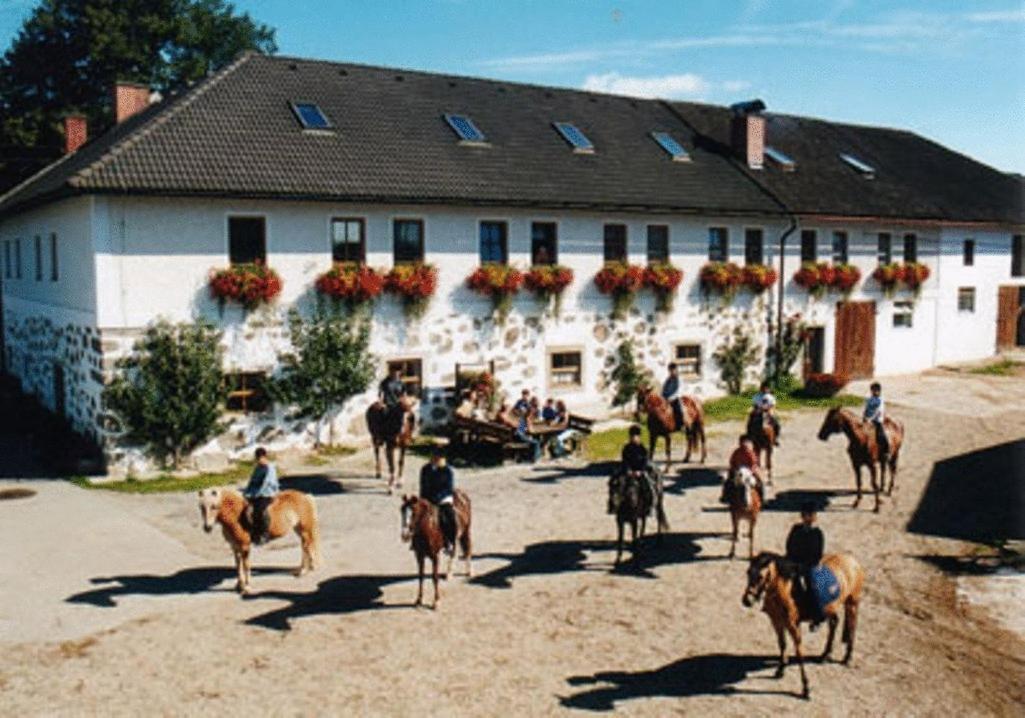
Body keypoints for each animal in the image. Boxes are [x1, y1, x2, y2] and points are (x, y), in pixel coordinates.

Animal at [746, 553, 865, 697]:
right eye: (748, 572)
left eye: (760, 576)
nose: (747, 601)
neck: (785, 591)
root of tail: (852, 560)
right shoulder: (776, 621)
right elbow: (782, 645)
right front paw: (780, 670)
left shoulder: (793, 625)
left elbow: (799, 652)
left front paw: (806, 688)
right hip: (831, 608)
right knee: (834, 623)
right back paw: (825, 654)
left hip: (852, 603)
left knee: (852, 627)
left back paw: (847, 658)